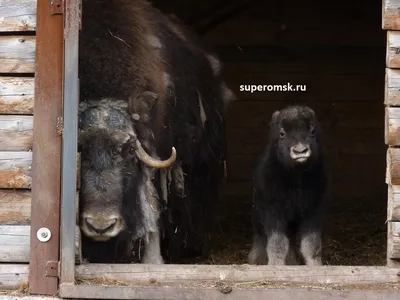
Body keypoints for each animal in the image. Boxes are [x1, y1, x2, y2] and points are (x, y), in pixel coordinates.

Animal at [250, 105, 328, 264]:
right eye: (282, 133)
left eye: (312, 130)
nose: (300, 151)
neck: (296, 178)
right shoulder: (273, 211)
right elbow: (277, 244)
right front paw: (275, 265)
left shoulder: (314, 210)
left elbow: (312, 244)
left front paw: (315, 266)